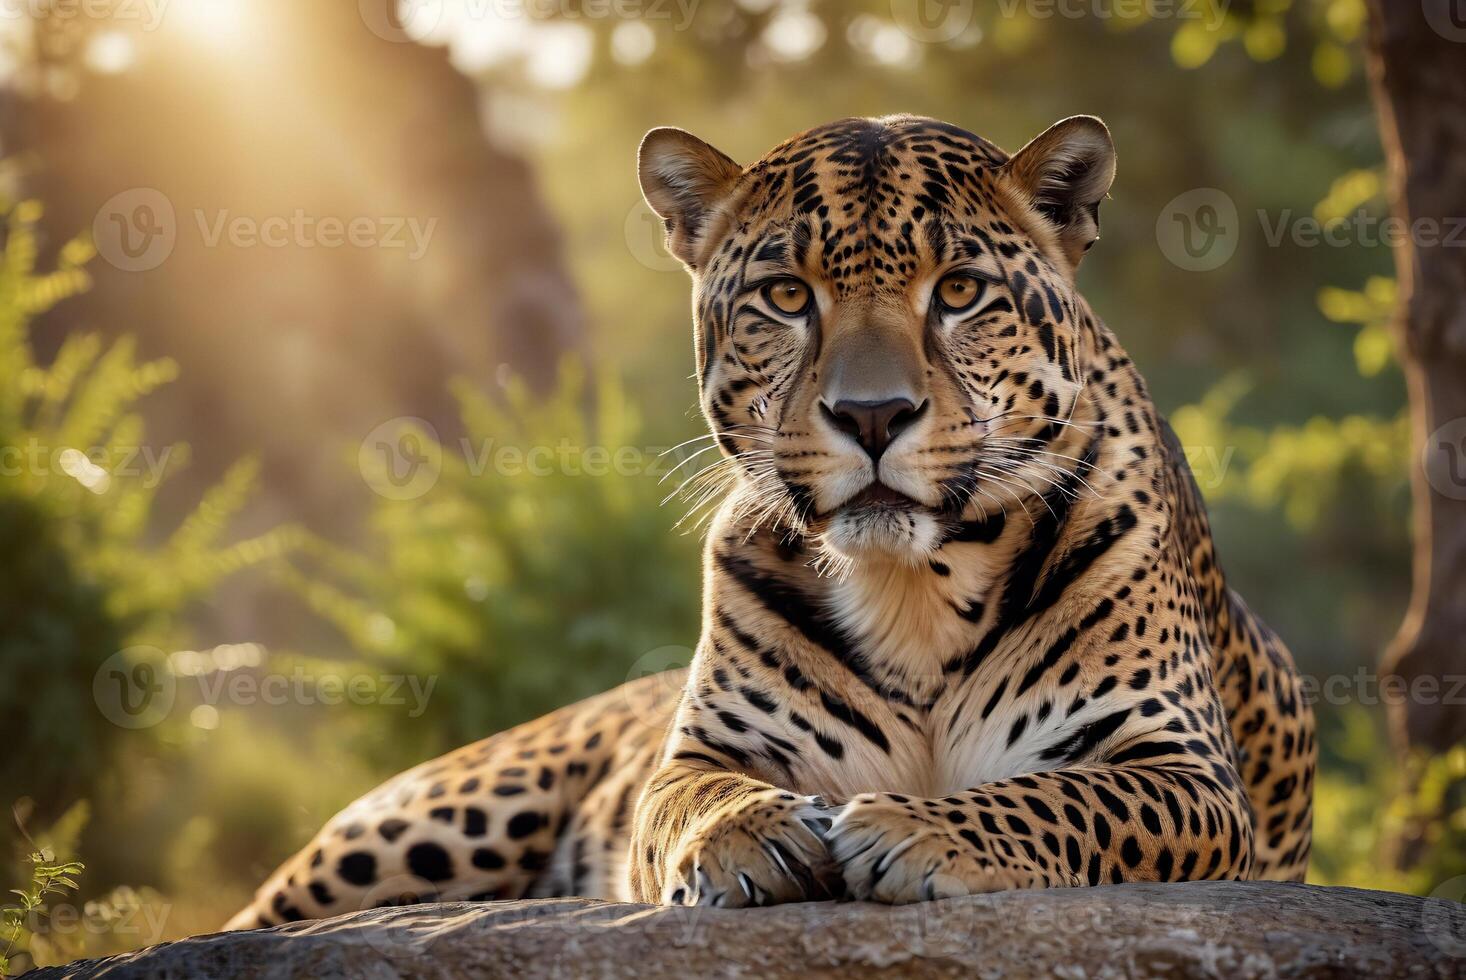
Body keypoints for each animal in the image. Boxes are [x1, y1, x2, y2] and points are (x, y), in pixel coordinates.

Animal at [228, 115, 1319, 927]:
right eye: (787, 296)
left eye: (961, 291)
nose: (872, 415)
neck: (914, 587)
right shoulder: (697, 755)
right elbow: (688, 801)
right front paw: (749, 837)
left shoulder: (1181, 766)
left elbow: (1064, 796)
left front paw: (920, 829)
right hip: (428, 824)